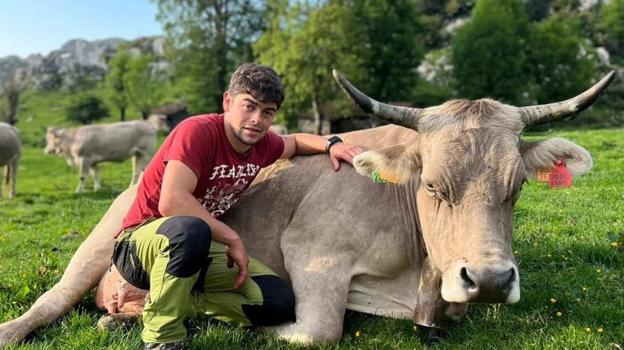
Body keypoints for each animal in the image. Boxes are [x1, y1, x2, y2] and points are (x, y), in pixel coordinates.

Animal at [0, 69, 616, 348]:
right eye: (434, 187)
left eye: (516, 188)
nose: (488, 279)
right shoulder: (313, 254)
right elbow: (318, 329)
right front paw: (246, 325)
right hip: (103, 242)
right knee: (53, 301)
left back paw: (121, 315)